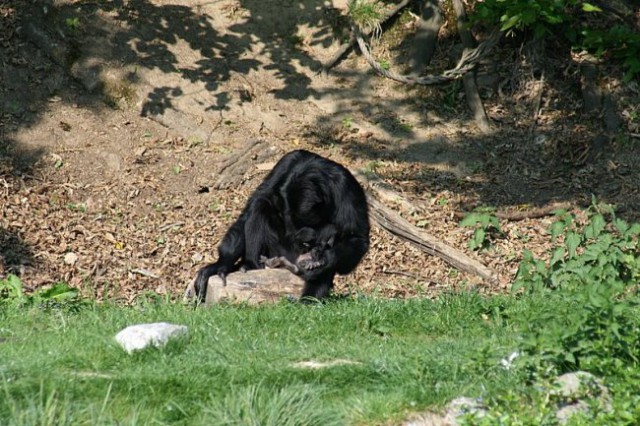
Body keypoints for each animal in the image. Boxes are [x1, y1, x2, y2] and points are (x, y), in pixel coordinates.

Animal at [192, 148, 368, 302]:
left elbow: (358, 238)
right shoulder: (286, 162)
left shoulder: (344, 186)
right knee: (261, 203)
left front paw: (320, 260)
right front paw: (220, 264)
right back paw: (252, 265)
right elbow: (251, 206)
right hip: (275, 251)